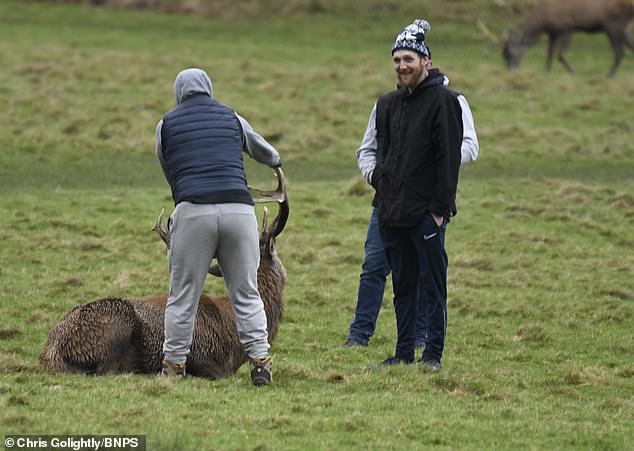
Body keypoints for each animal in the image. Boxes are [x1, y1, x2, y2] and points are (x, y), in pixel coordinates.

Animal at [478, 0, 632, 77]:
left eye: (510, 53)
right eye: (503, 55)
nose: (511, 71)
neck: (543, 20)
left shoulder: (567, 27)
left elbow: (560, 55)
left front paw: (573, 73)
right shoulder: (553, 33)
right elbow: (549, 55)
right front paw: (547, 73)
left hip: (613, 26)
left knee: (620, 52)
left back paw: (609, 75)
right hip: (621, 27)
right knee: (629, 48)